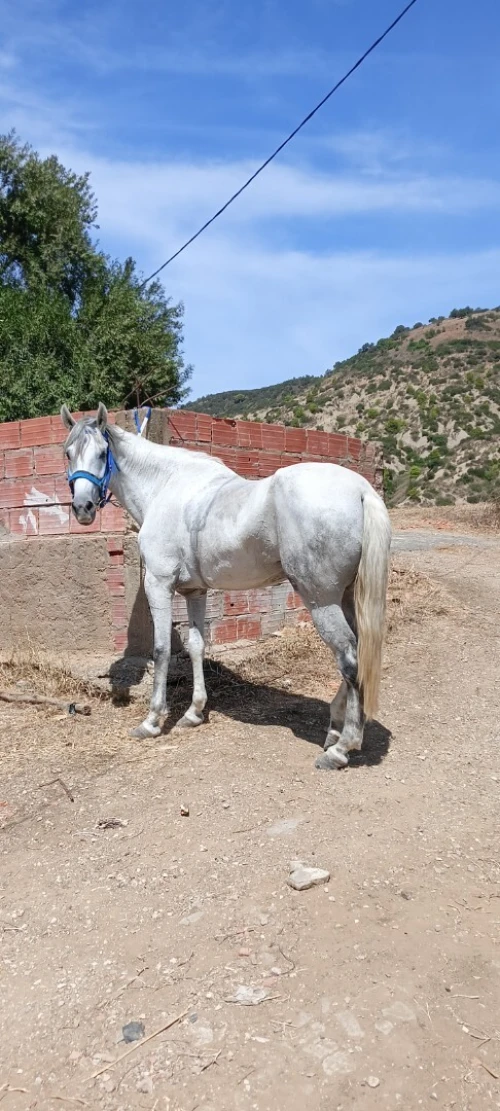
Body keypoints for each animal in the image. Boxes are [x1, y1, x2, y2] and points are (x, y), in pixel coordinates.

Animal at [61, 403, 391, 770]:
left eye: (102, 453)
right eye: (68, 453)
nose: (83, 508)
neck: (164, 487)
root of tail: (361, 491)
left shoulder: (158, 584)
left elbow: (161, 650)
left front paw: (152, 720)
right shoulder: (195, 591)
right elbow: (196, 646)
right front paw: (193, 713)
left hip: (322, 601)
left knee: (348, 658)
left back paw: (342, 747)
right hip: (345, 598)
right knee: (356, 653)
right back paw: (334, 729)